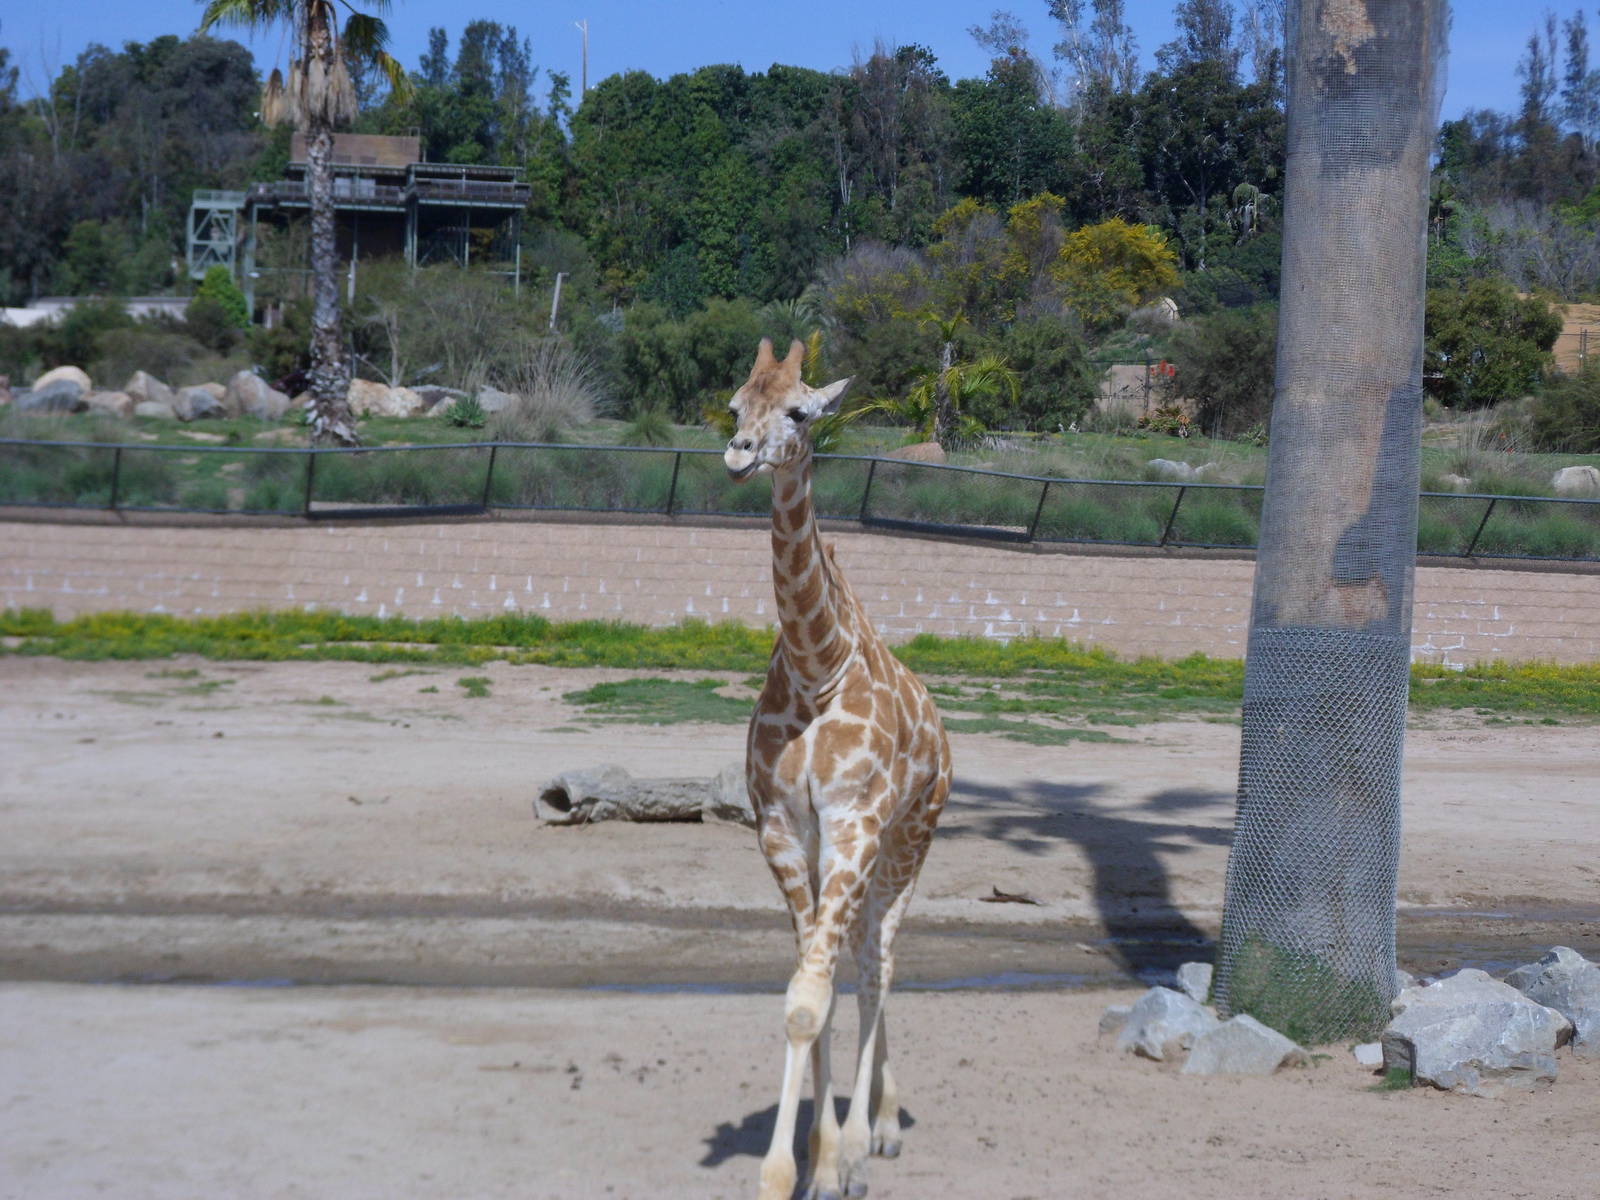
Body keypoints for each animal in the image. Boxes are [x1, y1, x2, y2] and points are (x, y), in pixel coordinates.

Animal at [723, 338, 953, 1200]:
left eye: (800, 411)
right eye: (735, 405)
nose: (739, 454)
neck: (816, 665)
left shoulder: (856, 822)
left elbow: (818, 991)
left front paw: (830, 1162)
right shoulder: (784, 831)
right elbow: (803, 996)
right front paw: (803, 1166)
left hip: (909, 839)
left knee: (878, 962)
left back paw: (874, 1134)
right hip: (856, 851)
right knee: (858, 955)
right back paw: (871, 1126)